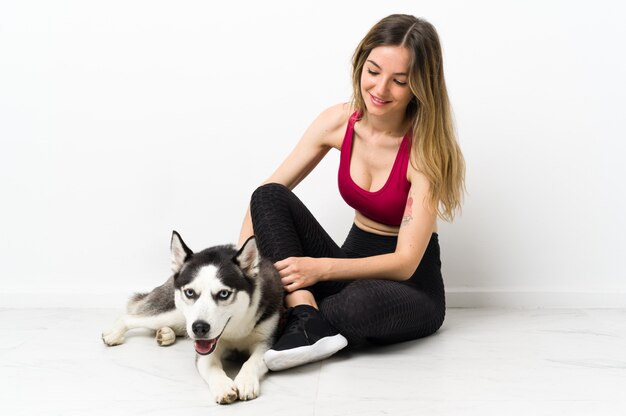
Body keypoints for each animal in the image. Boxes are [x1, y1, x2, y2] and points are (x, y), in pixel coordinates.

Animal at [102, 231, 282, 404]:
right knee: (130, 317)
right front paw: (222, 386)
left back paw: (165, 334)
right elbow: (211, 366)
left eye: (223, 294)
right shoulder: (206, 350)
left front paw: (245, 381)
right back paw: (114, 334)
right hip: (171, 314)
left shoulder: (265, 342)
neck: (235, 330)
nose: (200, 328)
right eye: (190, 292)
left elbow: (252, 361)